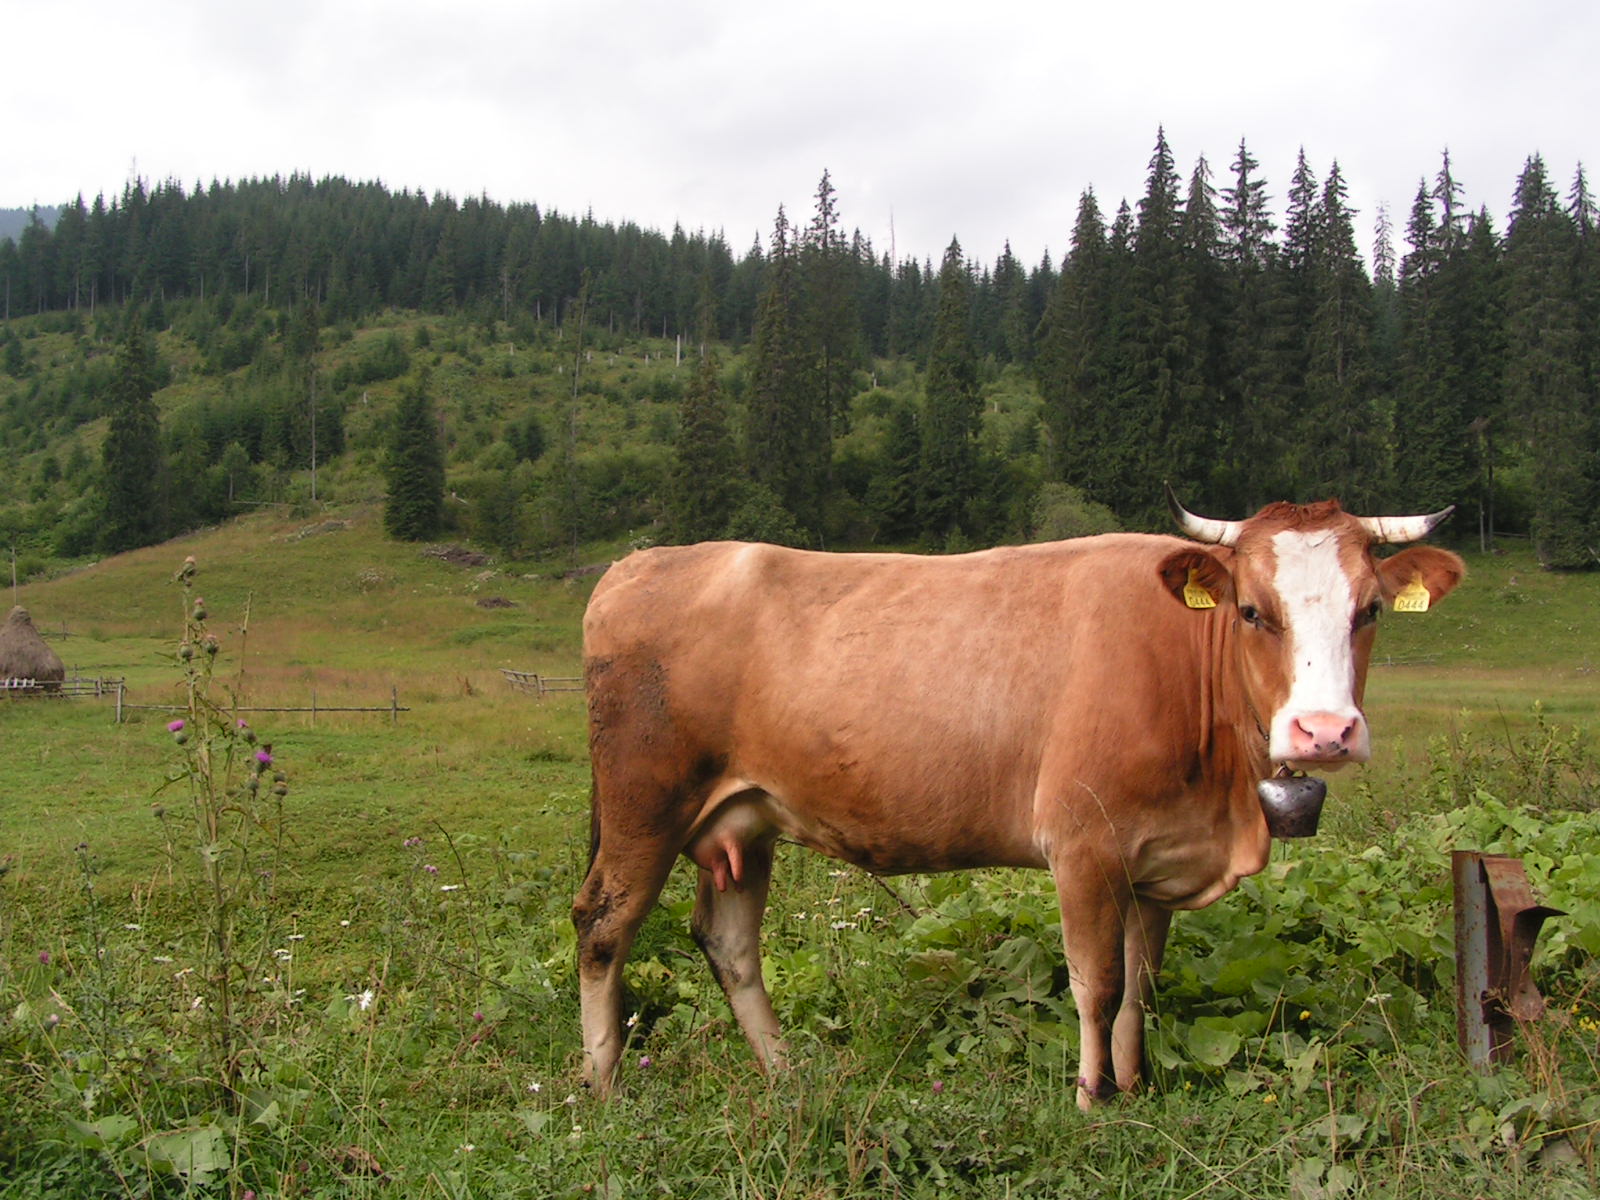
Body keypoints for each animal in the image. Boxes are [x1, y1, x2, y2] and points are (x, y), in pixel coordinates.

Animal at [576, 496, 1465, 1107]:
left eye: (1370, 610)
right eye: (1253, 610)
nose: (1325, 731)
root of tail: (640, 564)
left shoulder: (1157, 859)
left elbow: (1141, 985)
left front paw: (1135, 1088)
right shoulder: (1083, 843)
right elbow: (1095, 983)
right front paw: (1089, 1101)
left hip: (743, 819)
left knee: (728, 941)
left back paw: (791, 1075)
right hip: (643, 805)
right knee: (602, 928)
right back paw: (603, 1088)